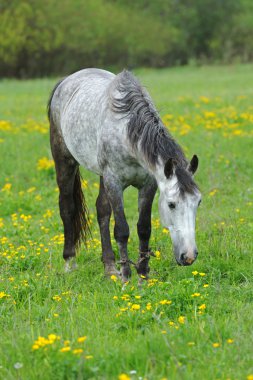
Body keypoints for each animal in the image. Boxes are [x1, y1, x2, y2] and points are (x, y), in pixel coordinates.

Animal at [48, 69, 202, 282]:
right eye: (171, 204)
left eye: (198, 202)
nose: (188, 256)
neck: (127, 134)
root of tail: (65, 81)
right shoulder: (114, 183)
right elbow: (122, 230)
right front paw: (126, 276)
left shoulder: (147, 185)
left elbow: (143, 228)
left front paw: (143, 274)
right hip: (65, 161)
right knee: (67, 208)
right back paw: (70, 262)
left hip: (102, 176)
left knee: (102, 210)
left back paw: (110, 267)